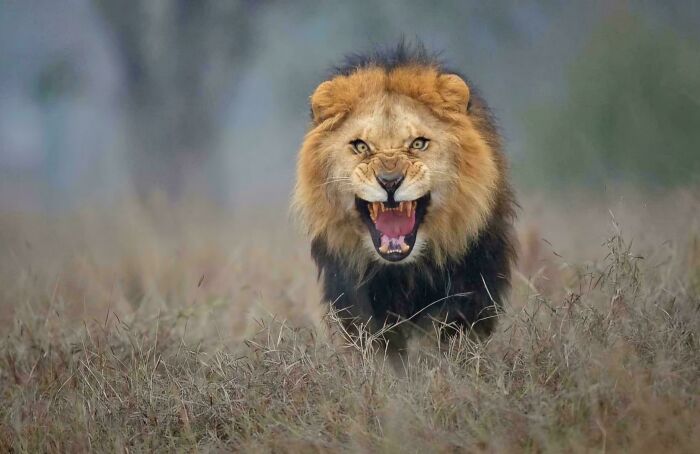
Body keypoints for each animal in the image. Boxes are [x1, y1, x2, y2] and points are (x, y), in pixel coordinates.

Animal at [293, 44, 516, 353]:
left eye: (418, 143)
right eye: (361, 146)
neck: (405, 272)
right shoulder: (357, 300)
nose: (390, 181)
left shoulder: (470, 289)